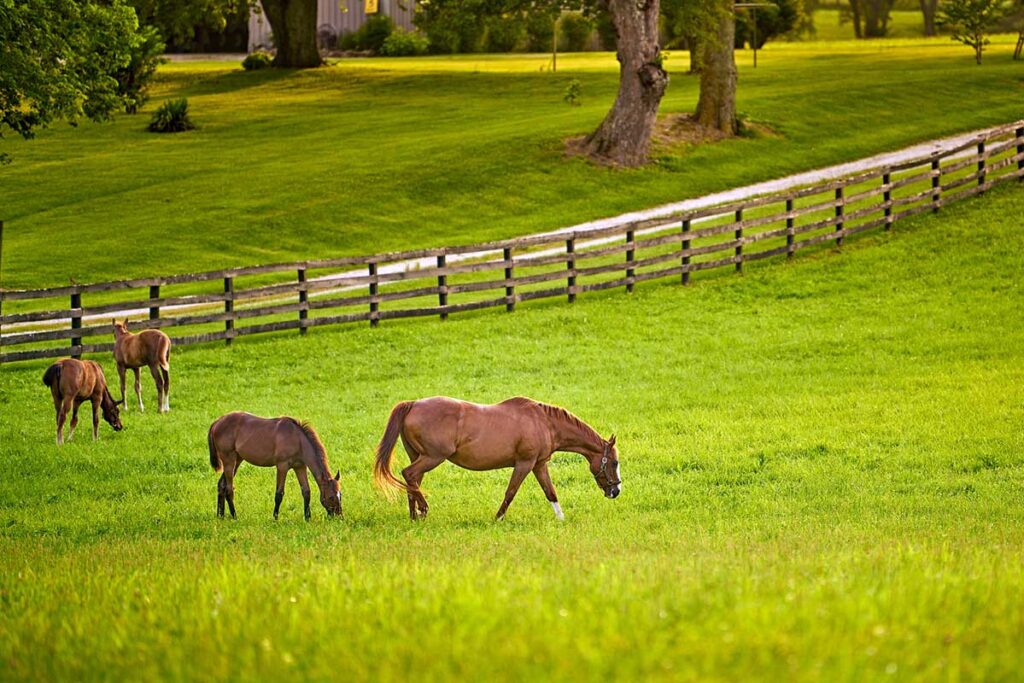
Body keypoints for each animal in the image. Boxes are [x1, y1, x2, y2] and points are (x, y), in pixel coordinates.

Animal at [207, 413, 344, 520]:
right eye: (331, 497)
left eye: (340, 495)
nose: (339, 517)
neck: (298, 439)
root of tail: (217, 422)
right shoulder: (282, 466)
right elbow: (279, 494)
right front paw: (275, 517)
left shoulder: (300, 467)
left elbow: (306, 491)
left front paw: (307, 517)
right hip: (229, 460)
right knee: (229, 489)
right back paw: (234, 516)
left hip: (237, 460)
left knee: (221, 485)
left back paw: (221, 515)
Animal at [374, 397, 618, 520]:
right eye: (615, 463)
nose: (616, 491)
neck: (543, 421)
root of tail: (413, 404)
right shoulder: (524, 464)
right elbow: (510, 492)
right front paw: (498, 518)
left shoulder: (539, 464)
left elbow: (551, 492)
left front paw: (561, 519)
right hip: (433, 457)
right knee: (409, 474)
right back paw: (423, 510)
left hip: (420, 456)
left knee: (412, 482)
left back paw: (414, 516)